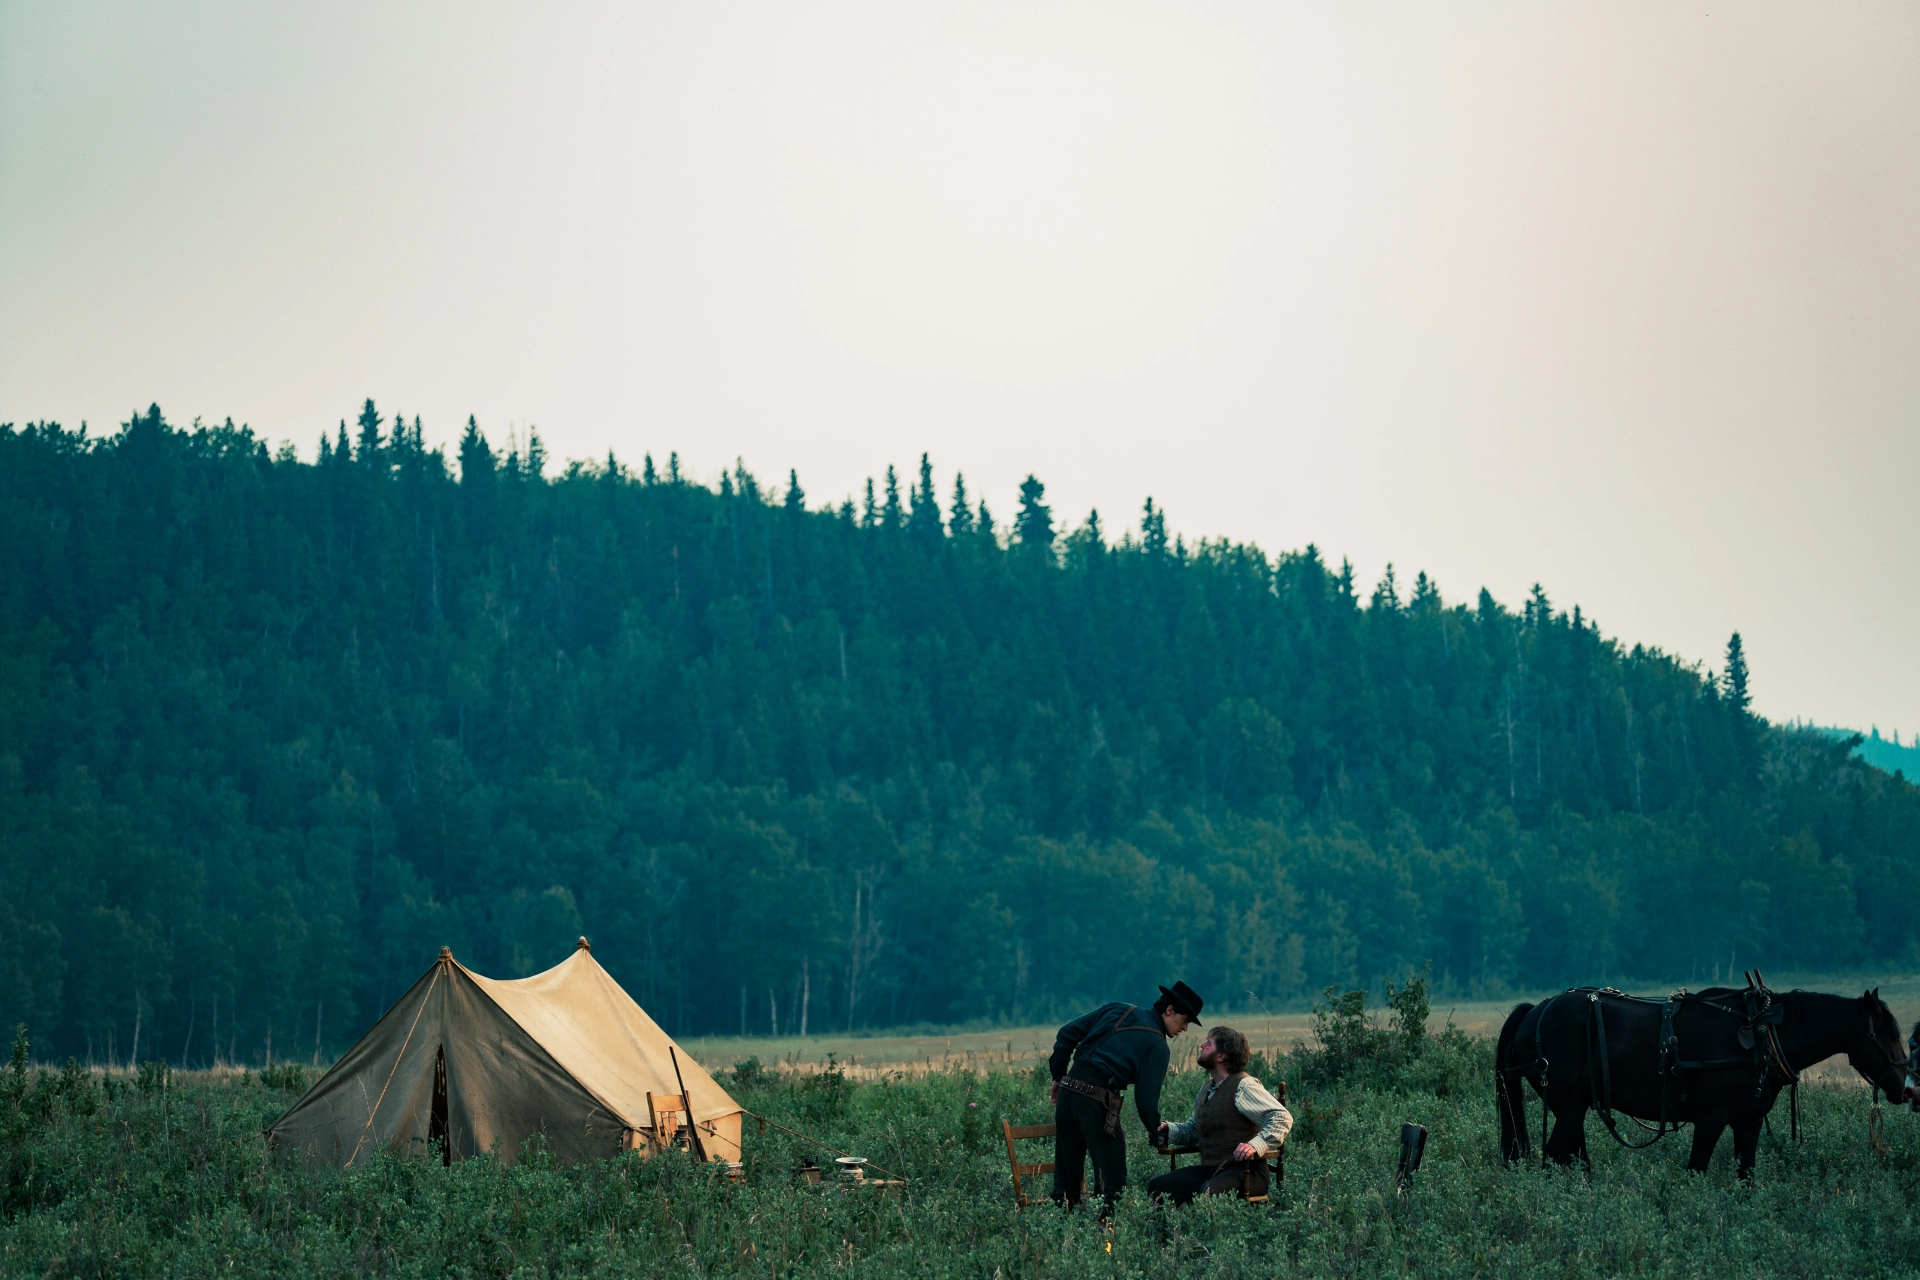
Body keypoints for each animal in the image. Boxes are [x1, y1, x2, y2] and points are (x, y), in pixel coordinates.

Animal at [1489, 982, 1912, 1182]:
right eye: (1887, 1034)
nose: (1906, 1087)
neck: (1761, 1034)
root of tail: (1536, 1011)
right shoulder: (1711, 1119)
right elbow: (1696, 1170)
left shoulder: (1748, 1122)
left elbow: (1746, 1176)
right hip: (1569, 1108)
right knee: (1554, 1158)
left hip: (1573, 1110)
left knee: (1572, 1159)